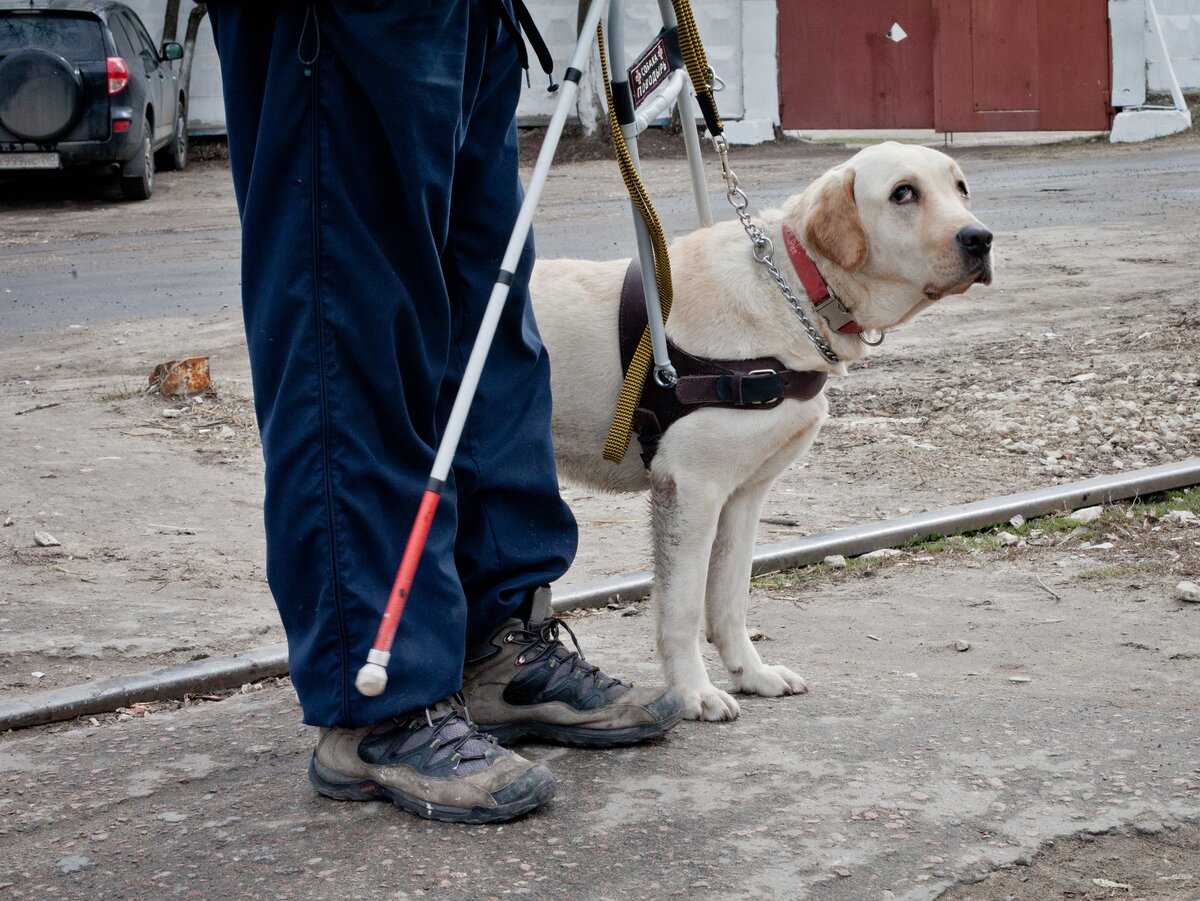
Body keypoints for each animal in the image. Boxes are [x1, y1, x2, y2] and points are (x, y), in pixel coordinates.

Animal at [535, 140, 993, 724]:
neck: (793, 289)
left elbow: (730, 599)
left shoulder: (744, 495)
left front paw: (751, 674)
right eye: (903, 193)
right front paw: (693, 693)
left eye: (961, 188)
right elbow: (682, 608)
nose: (981, 238)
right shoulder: (691, 488)